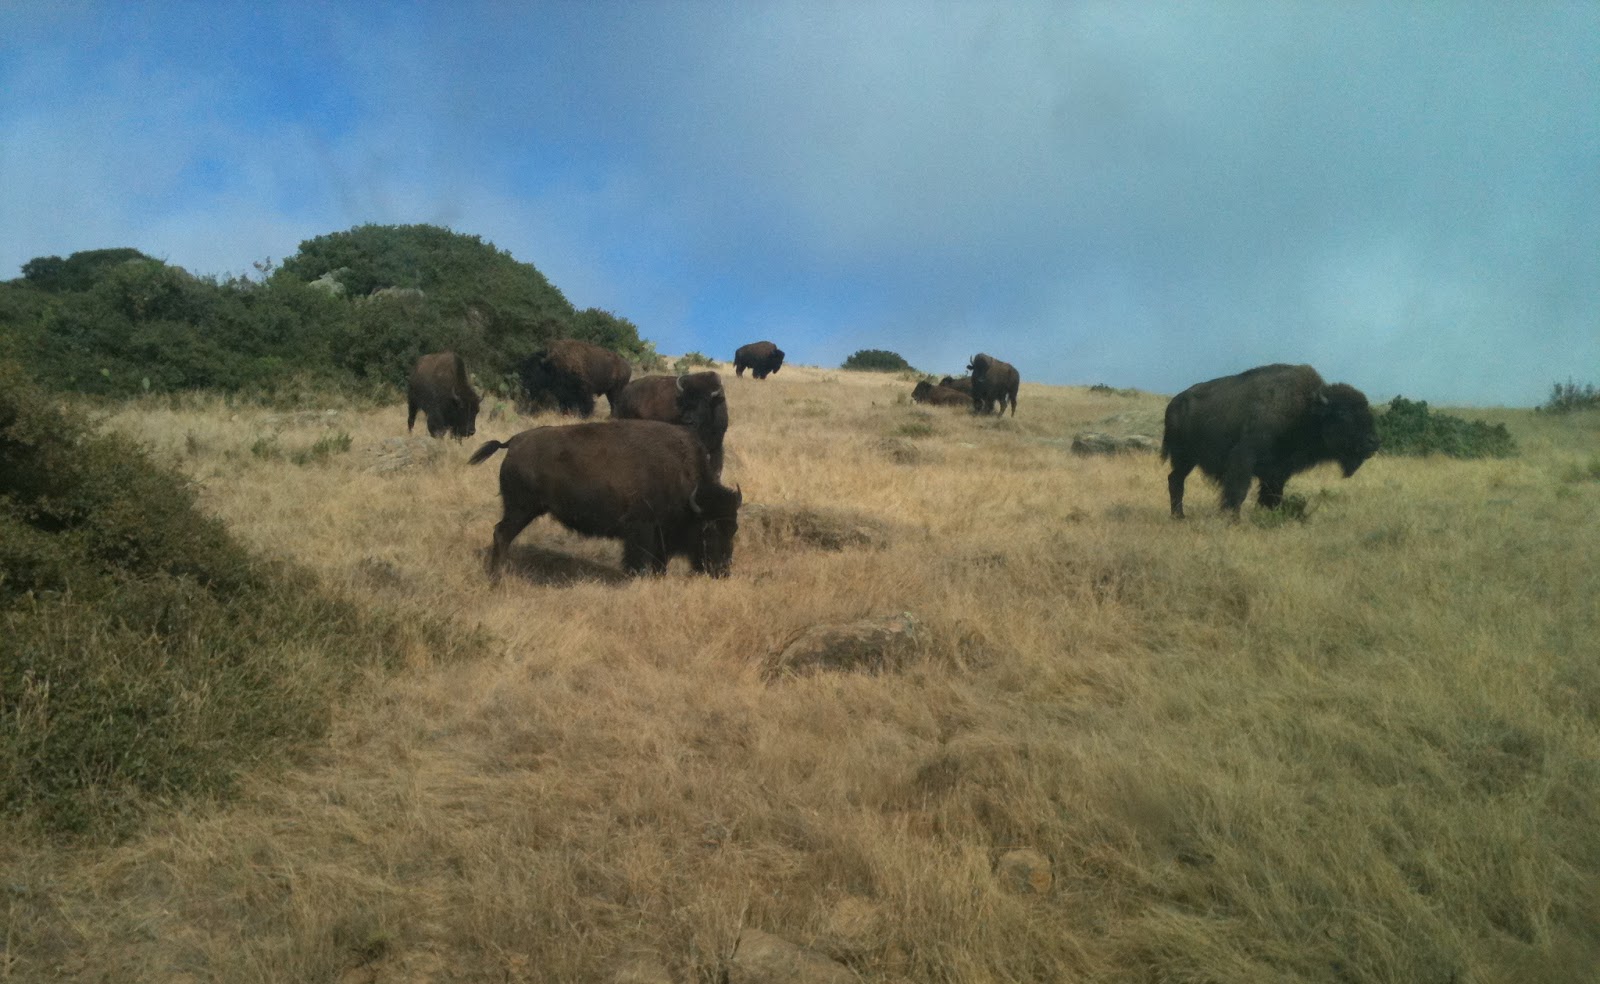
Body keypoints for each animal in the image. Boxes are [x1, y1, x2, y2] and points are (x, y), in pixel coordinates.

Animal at [469, 420, 743, 579]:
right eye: (708, 529)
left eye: (734, 528)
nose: (722, 571)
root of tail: (514, 442)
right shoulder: (642, 530)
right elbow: (639, 558)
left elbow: (659, 561)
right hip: (521, 509)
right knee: (501, 534)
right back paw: (496, 577)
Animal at [1162, 363, 1381, 519]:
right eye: (1343, 414)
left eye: (1366, 411)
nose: (1373, 442)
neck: (1307, 411)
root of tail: (1174, 403)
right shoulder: (1244, 460)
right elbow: (1238, 491)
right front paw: (1234, 520)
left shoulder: (1279, 470)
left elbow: (1273, 495)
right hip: (1185, 457)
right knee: (1176, 480)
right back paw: (1179, 516)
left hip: (1187, 460)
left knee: (1174, 479)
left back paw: (1178, 515)